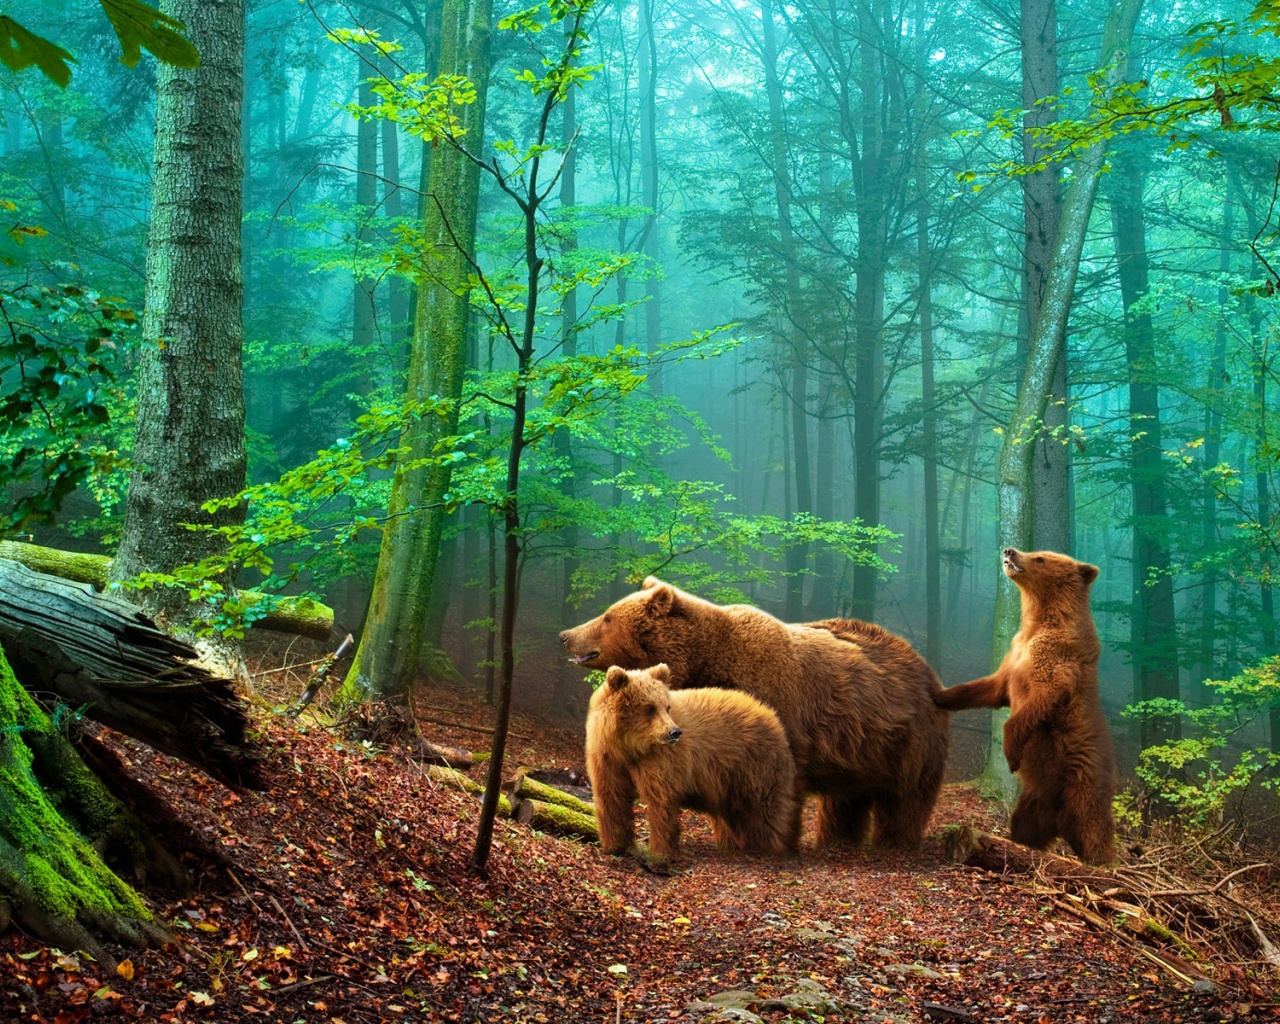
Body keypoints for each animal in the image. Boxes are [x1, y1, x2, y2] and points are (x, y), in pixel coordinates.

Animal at [583, 665, 798, 865]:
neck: (629, 747)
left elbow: (661, 802)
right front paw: (614, 846)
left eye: (667, 706)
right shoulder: (607, 758)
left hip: (755, 767)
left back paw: (769, 848)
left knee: (765, 811)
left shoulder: (661, 761)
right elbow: (611, 797)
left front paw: (659, 853)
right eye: (650, 708)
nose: (674, 732)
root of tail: (770, 713)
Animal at [931, 547, 1121, 870]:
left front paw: (1011, 754)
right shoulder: (1014, 656)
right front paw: (939, 693)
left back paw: (1103, 863)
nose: (1010, 550)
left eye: (1041, 557)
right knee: (1025, 826)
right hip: (1034, 802)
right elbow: (989, 688)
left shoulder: (1056, 660)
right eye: (1034, 552)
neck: (1039, 622)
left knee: (1093, 827)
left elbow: (1039, 699)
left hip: (1083, 782)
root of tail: (1061, 822)